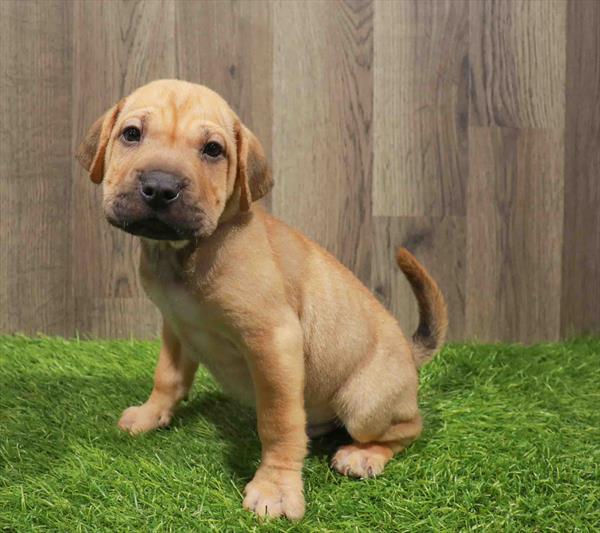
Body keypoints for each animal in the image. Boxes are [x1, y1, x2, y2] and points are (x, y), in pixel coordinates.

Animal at [76, 80, 446, 520]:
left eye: (212, 149)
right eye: (131, 134)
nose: (161, 188)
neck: (187, 253)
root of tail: (409, 353)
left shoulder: (273, 341)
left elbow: (278, 422)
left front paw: (276, 489)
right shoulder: (176, 326)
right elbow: (167, 376)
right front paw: (151, 415)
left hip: (363, 403)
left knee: (409, 428)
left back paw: (364, 454)